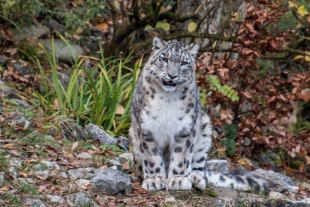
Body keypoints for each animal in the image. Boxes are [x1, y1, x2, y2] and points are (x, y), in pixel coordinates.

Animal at [128, 36, 268, 192]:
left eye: (184, 63)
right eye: (164, 58)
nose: (172, 75)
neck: (168, 98)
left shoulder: (186, 128)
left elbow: (181, 155)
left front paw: (178, 180)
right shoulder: (147, 127)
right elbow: (151, 156)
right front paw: (155, 180)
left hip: (205, 130)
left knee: (200, 167)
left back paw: (196, 179)